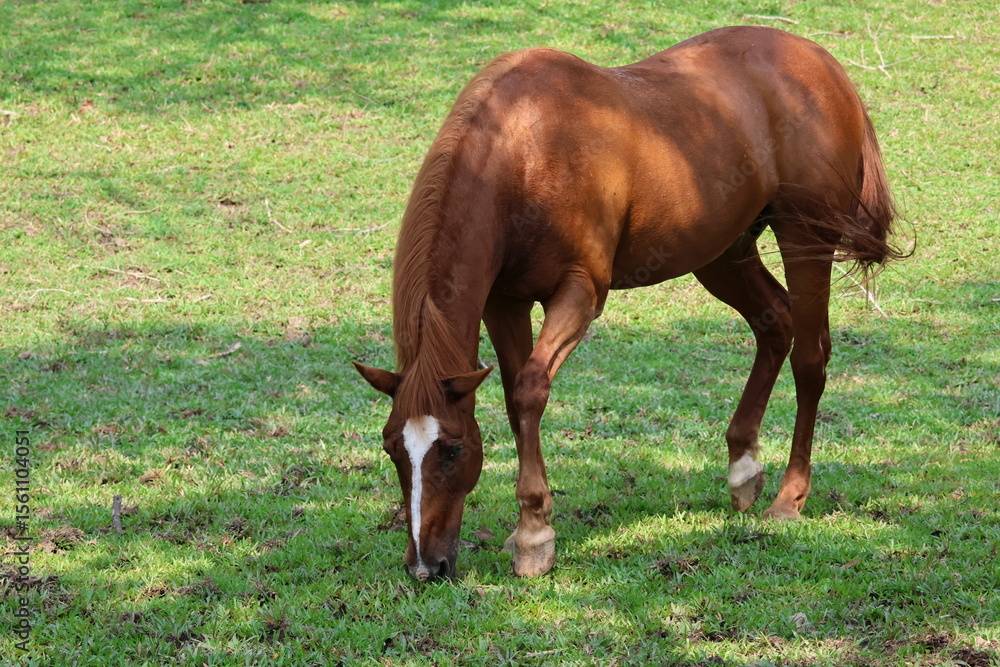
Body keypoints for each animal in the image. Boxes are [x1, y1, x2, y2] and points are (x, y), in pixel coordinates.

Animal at [354, 26, 904, 581]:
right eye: (391, 447)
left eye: (452, 450)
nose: (426, 566)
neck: (525, 151)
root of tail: (823, 64)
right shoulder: (505, 302)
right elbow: (514, 397)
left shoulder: (580, 293)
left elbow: (530, 390)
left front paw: (534, 535)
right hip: (723, 253)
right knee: (775, 322)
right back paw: (743, 468)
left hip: (804, 239)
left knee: (810, 358)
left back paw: (790, 498)